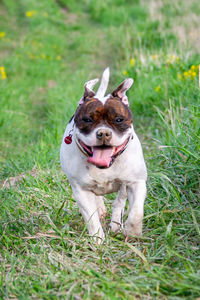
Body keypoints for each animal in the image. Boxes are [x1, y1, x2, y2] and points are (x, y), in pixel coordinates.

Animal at [59, 67, 147, 241]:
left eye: (119, 119)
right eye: (87, 119)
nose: (104, 133)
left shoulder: (137, 182)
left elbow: (136, 212)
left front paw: (132, 232)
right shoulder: (80, 191)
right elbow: (91, 217)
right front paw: (97, 240)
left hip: (124, 185)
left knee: (119, 202)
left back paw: (116, 225)